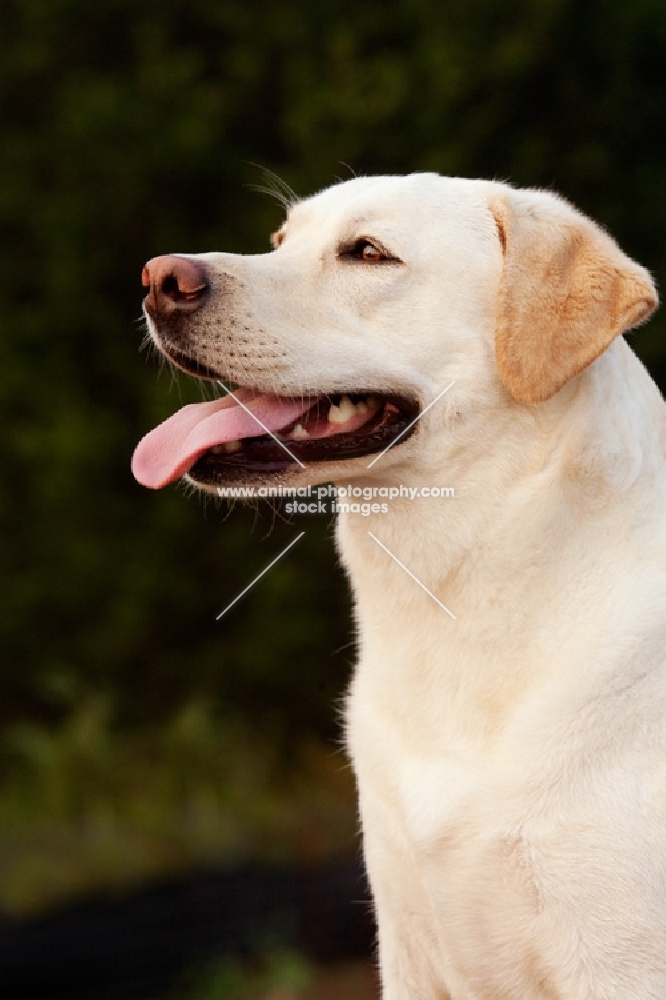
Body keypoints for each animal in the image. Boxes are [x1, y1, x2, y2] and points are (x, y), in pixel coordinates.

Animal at [131, 176, 664, 996]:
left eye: (368, 252)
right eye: (279, 242)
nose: (160, 279)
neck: (445, 606)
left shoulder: (617, 960)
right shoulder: (409, 944)